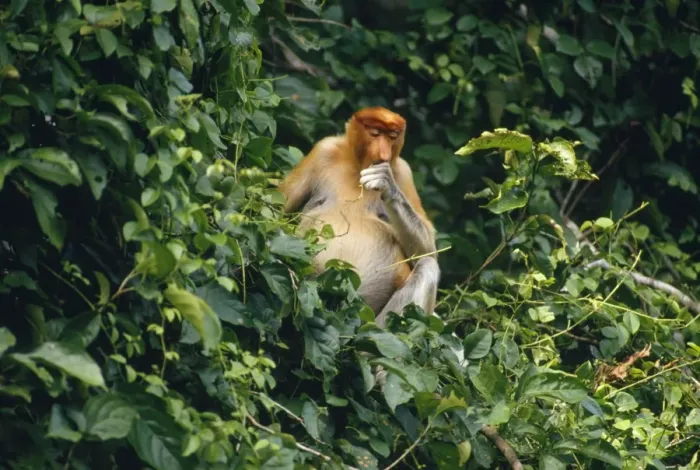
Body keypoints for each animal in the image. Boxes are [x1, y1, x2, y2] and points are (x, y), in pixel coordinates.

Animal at [279, 107, 440, 328]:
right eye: (375, 133)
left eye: (392, 137)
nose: (384, 154)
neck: (357, 168)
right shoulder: (323, 150)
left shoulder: (403, 171)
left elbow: (427, 250)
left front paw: (386, 184)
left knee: (427, 267)